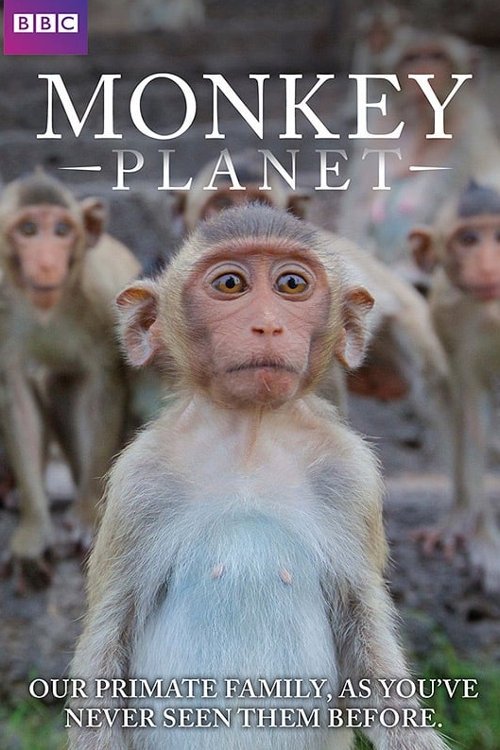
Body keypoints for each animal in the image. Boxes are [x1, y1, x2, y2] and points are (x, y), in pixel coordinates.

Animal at [0, 171, 141, 591]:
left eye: (62, 231)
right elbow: (15, 394)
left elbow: (104, 384)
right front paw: (33, 530)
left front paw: (85, 517)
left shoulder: (101, 298)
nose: (48, 263)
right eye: (29, 230)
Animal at [69, 205, 450, 750]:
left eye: (292, 284)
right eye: (230, 284)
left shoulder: (349, 475)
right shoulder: (140, 482)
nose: (268, 326)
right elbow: (108, 638)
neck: (250, 436)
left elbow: (368, 645)